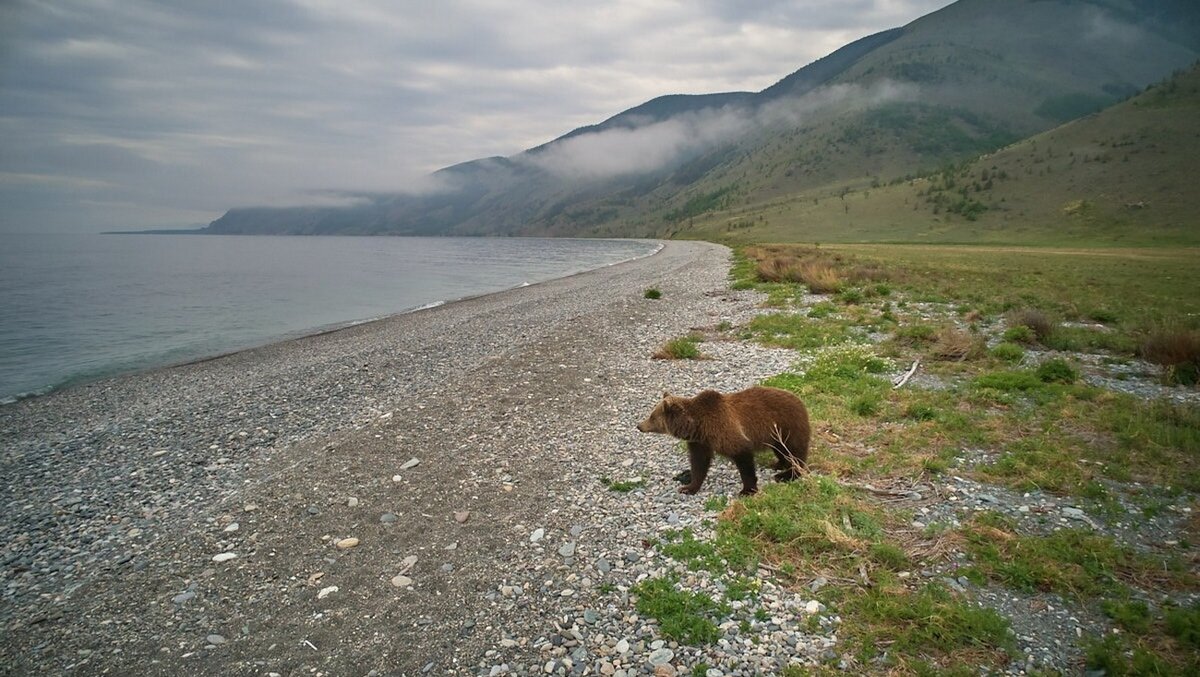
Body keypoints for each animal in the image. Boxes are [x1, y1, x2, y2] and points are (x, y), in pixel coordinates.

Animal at [633, 388, 811, 494]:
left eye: (652, 416)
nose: (639, 425)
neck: (698, 425)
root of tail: (800, 401)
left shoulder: (724, 428)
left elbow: (743, 455)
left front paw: (747, 489)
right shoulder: (700, 442)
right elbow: (699, 463)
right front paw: (688, 487)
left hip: (787, 425)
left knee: (794, 451)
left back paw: (786, 474)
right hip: (776, 433)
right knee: (781, 450)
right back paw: (779, 464)